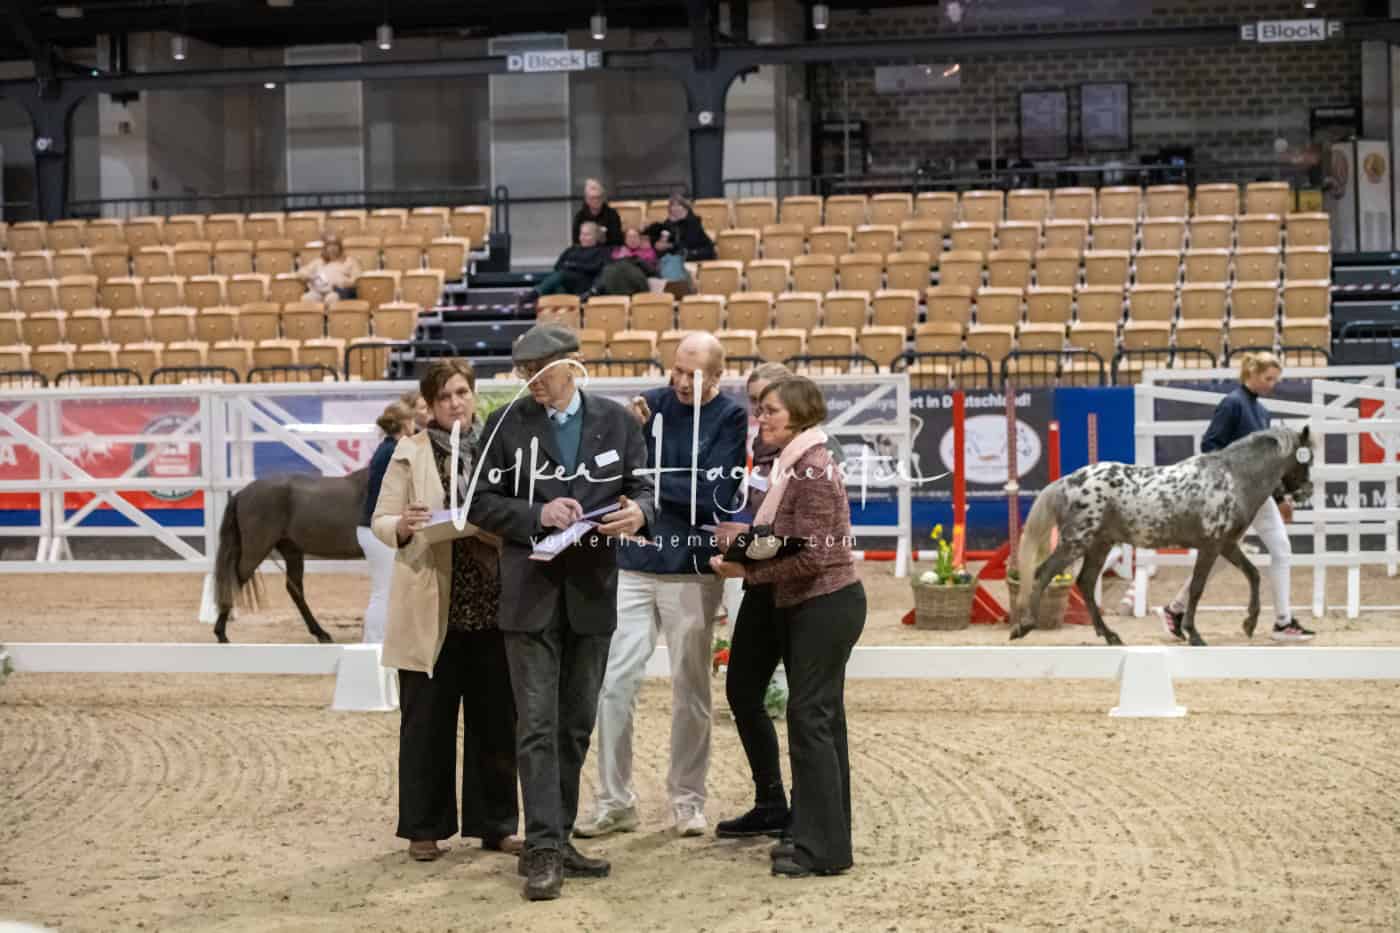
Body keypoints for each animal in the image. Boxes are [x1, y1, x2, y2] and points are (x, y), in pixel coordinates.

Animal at [212, 469, 369, 644]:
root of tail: (241, 494)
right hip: (255, 550)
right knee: (234, 581)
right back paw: (221, 634)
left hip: (291, 551)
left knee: (294, 590)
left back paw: (320, 633)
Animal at [1011, 425, 1315, 647]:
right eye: (1305, 459)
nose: (1306, 491)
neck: (1232, 479)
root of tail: (1067, 482)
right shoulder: (1211, 546)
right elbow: (1197, 588)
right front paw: (1193, 634)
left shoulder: (1226, 545)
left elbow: (1252, 574)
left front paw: (1249, 624)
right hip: (1076, 541)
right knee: (1044, 572)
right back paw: (1024, 626)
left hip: (1100, 544)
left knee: (1084, 582)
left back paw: (1110, 635)